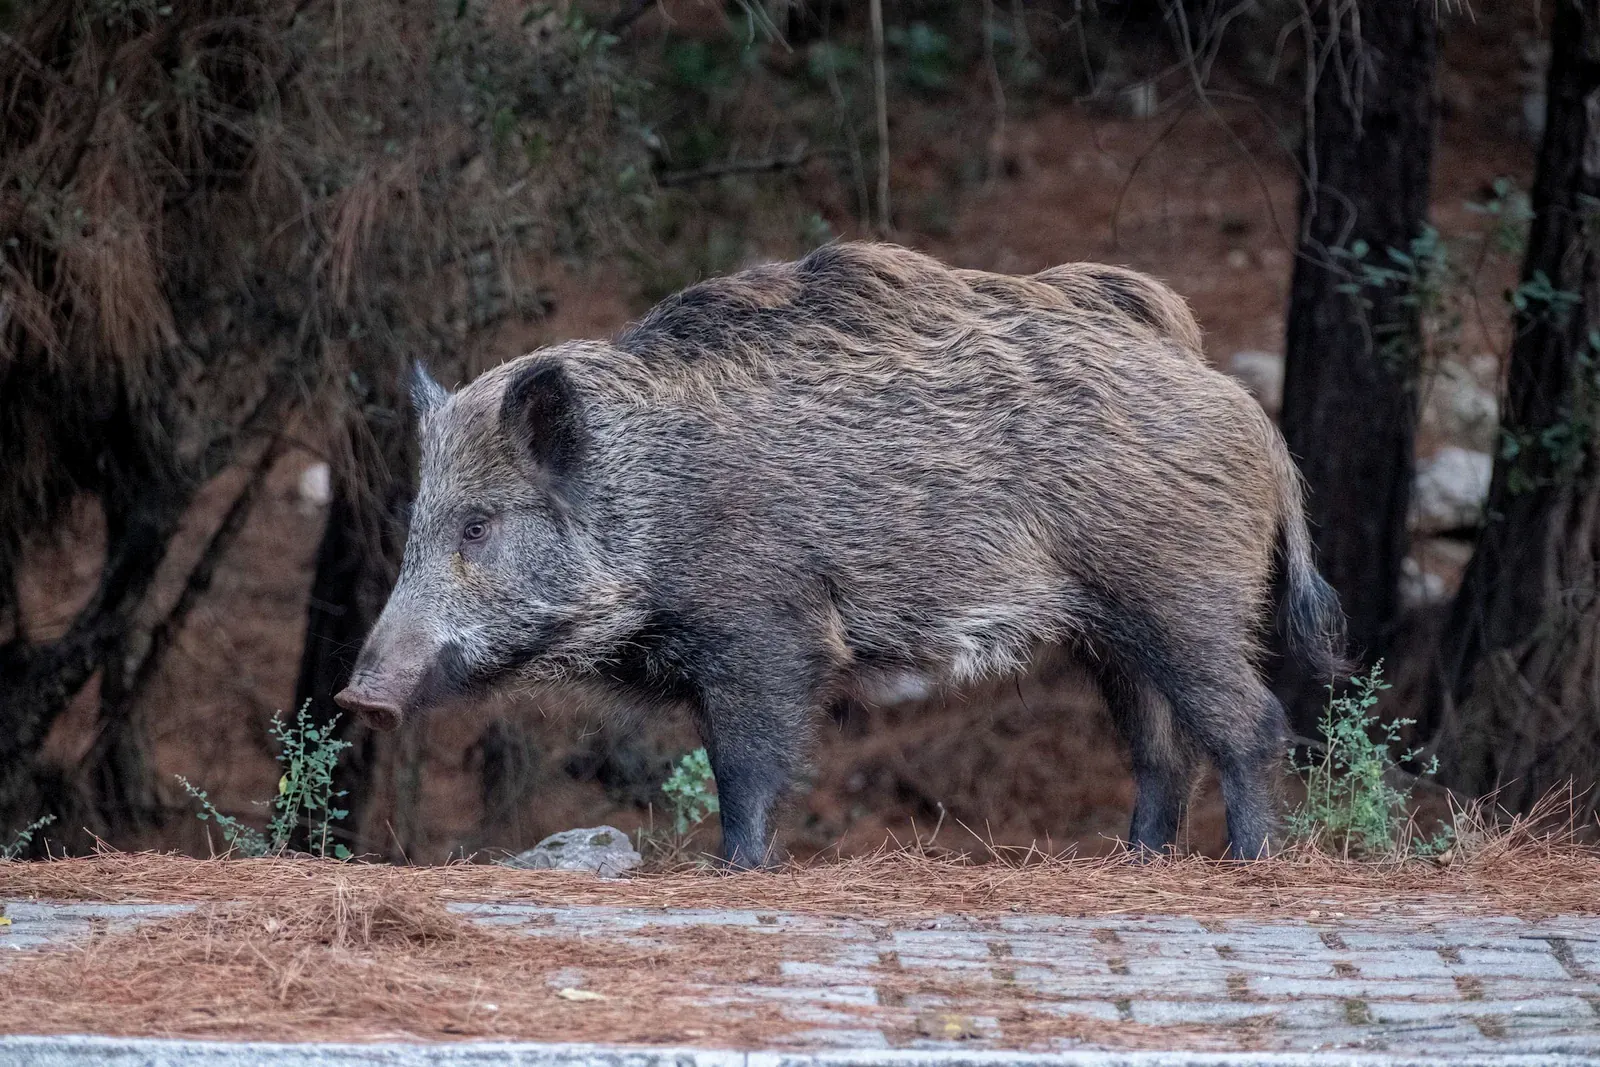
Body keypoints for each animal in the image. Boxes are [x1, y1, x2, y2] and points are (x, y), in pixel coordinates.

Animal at [335, 241, 1347, 866]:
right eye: (418, 520)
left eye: (478, 525)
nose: (359, 695)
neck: (652, 498)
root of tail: (1247, 411)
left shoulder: (766, 633)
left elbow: (749, 767)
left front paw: (735, 871)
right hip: (1112, 628)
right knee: (1162, 748)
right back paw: (1136, 859)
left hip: (1181, 594)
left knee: (1251, 721)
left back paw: (1250, 861)